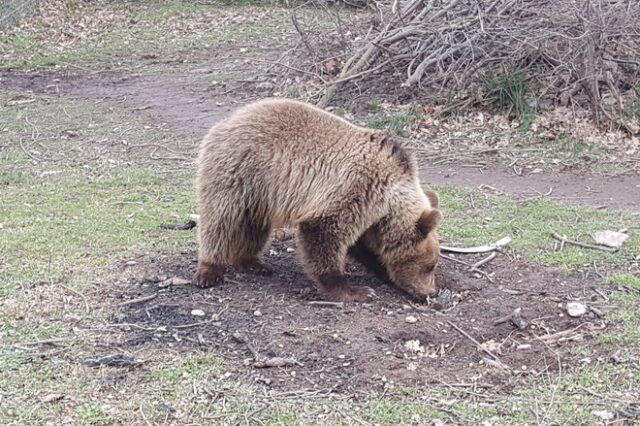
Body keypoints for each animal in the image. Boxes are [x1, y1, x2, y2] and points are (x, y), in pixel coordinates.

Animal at [195, 98, 442, 302]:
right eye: (429, 266)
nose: (430, 293)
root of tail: (226, 121)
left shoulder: (369, 213)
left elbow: (361, 245)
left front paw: (380, 270)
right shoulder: (358, 187)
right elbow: (323, 231)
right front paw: (355, 290)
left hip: (260, 194)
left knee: (253, 225)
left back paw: (253, 262)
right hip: (239, 172)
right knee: (220, 220)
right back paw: (209, 271)